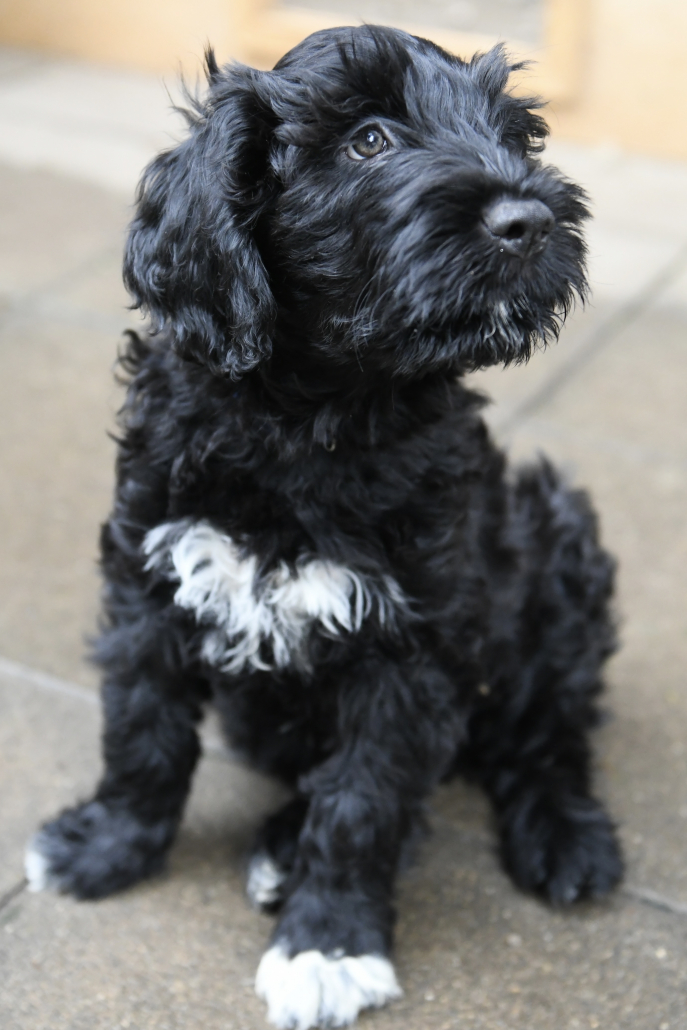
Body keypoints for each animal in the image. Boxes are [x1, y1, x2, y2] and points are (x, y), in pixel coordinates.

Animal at [26, 26, 623, 1030]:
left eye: (518, 137)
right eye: (368, 139)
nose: (530, 221)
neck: (313, 421)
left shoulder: (409, 646)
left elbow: (364, 801)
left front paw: (329, 942)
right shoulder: (150, 580)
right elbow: (143, 732)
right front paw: (107, 844)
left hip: (556, 537)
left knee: (548, 730)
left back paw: (566, 838)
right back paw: (277, 841)